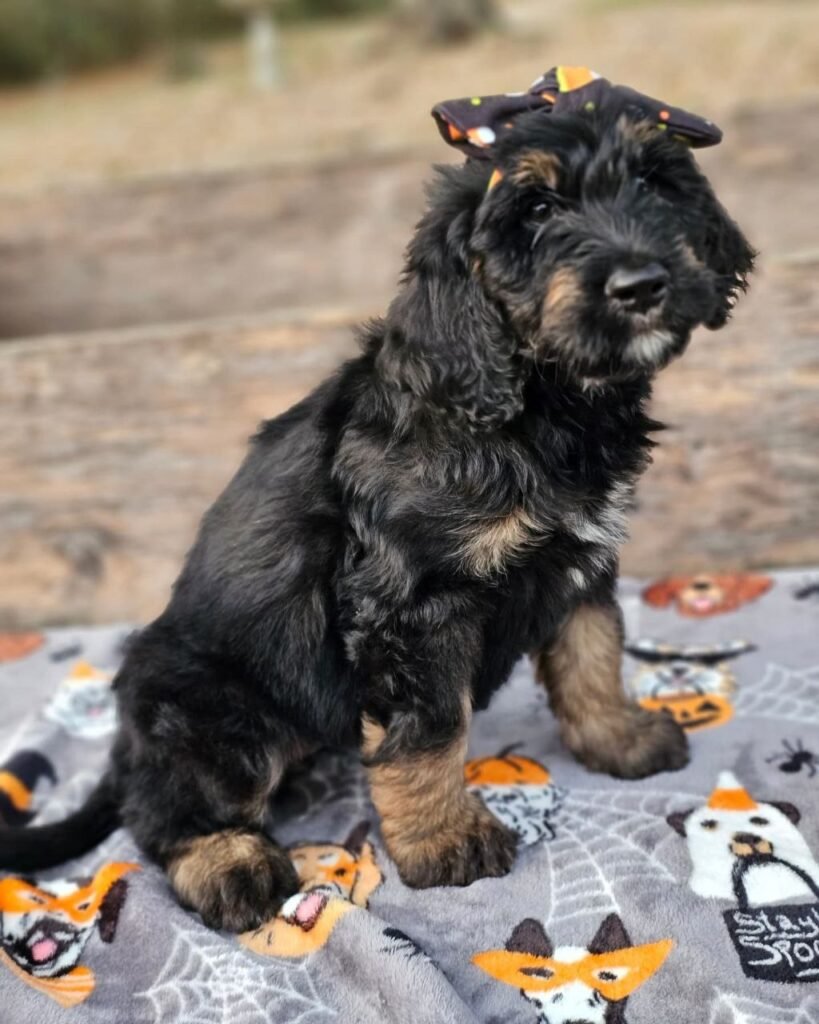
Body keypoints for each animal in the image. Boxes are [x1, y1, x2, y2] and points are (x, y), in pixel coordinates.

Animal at [1, 68, 753, 933]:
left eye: (653, 182)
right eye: (535, 210)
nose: (642, 285)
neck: (533, 404)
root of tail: (124, 742)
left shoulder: (581, 558)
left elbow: (592, 655)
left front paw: (618, 741)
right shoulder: (411, 606)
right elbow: (429, 731)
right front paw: (444, 839)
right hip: (209, 708)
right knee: (163, 808)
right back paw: (229, 864)